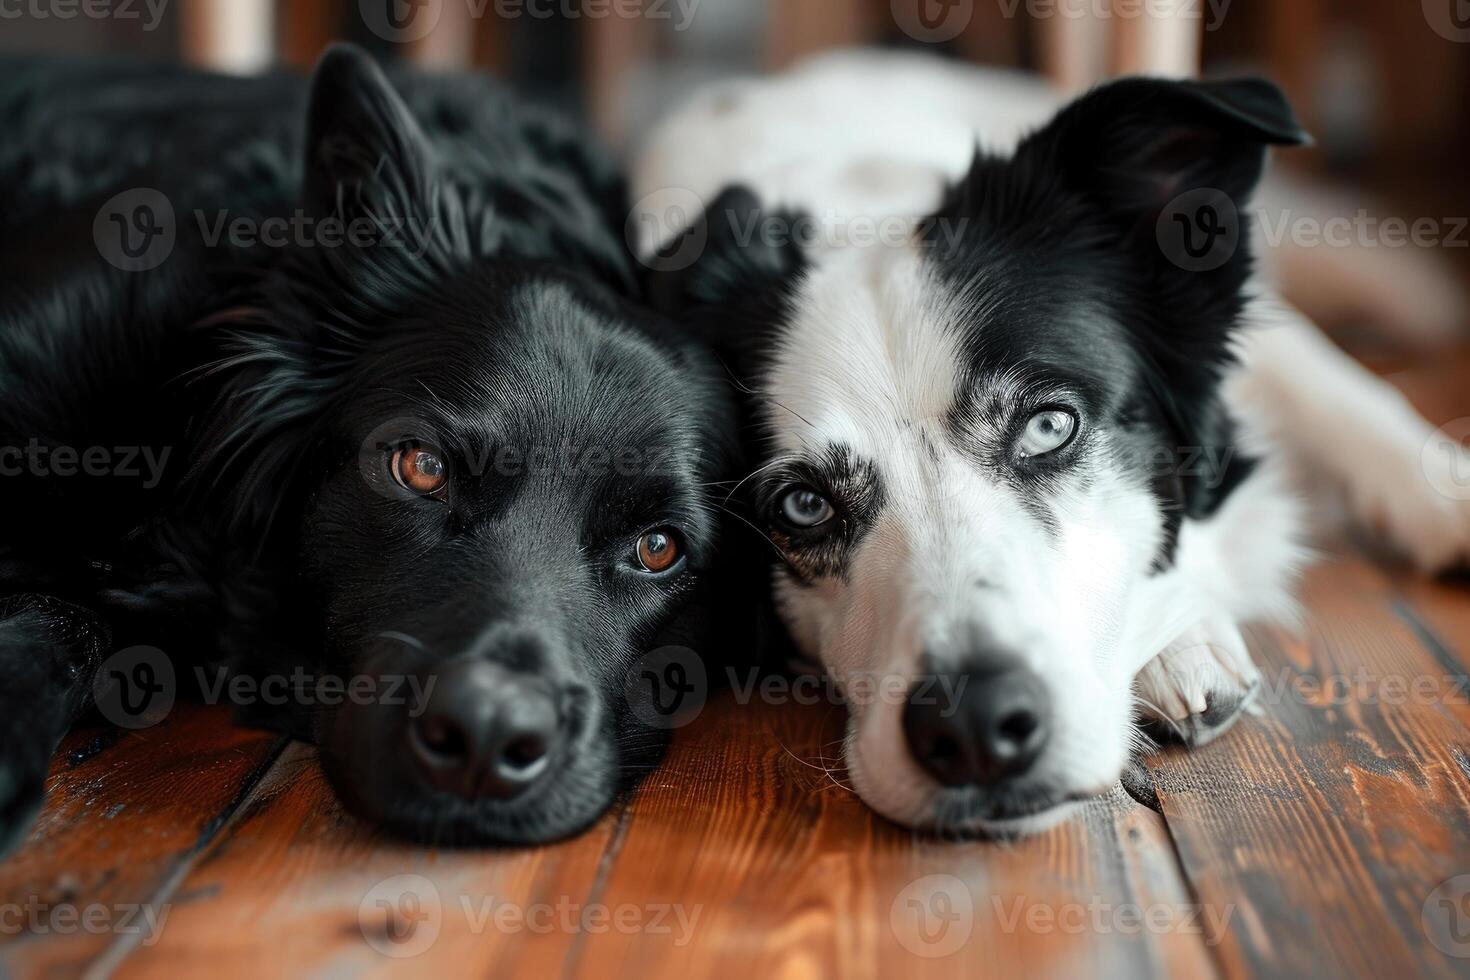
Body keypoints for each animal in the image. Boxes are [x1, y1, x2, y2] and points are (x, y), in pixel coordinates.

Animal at [632, 51, 1470, 834]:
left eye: (1048, 426)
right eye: (803, 506)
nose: (975, 728)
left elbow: (1334, 384)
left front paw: (1447, 499)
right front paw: (1179, 641)